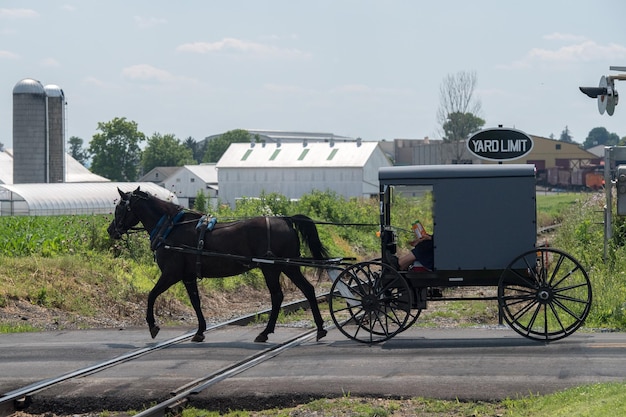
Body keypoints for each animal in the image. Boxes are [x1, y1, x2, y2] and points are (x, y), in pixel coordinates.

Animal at [106, 188, 332, 342]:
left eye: (119, 207)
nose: (111, 230)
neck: (171, 228)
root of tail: (286, 220)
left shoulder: (171, 274)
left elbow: (151, 295)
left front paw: (153, 325)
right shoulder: (188, 276)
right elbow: (195, 302)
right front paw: (200, 331)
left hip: (272, 268)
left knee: (278, 297)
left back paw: (266, 332)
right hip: (286, 266)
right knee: (307, 289)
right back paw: (319, 328)